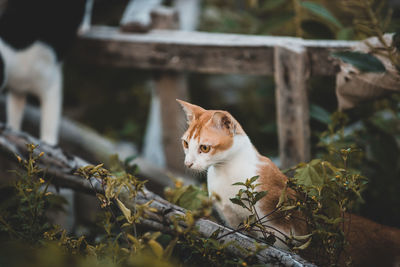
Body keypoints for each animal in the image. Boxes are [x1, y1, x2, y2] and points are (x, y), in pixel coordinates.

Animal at [0, 0, 89, 144]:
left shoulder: (52, 84)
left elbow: (49, 123)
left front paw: (48, 144)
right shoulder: (18, 90)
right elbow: (15, 116)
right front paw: (13, 132)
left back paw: (84, 26)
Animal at [177, 100, 400, 267]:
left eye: (204, 148)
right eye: (186, 143)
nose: (187, 163)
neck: (225, 172)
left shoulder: (280, 230)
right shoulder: (233, 224)